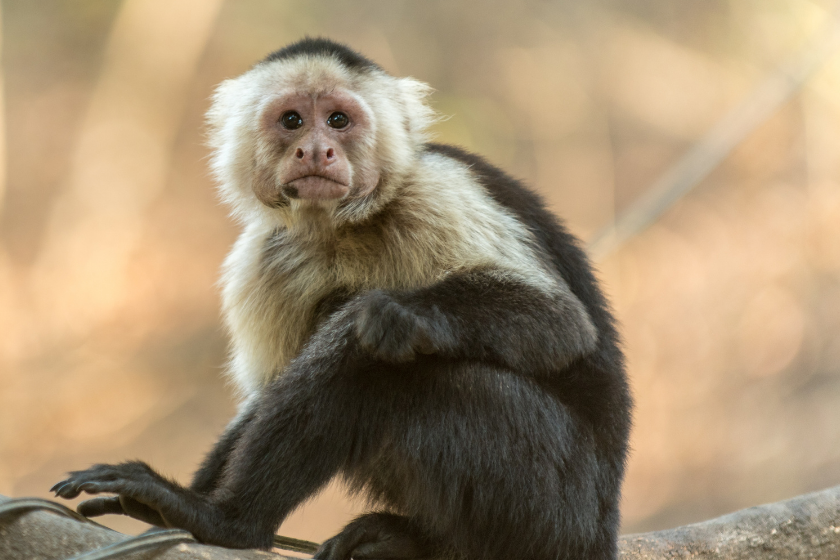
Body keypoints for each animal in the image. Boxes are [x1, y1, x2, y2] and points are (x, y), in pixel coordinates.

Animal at [50, 37, 632, 556]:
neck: (341, 226)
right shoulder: (265, 255)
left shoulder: (437, 192)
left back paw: (230, 522)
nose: (315, 149)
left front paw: (402, 313)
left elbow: (561, 323)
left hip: (559, 510)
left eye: (337, 121)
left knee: (397, 360)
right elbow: (265, 393)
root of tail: (601, 530)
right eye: (292, 121)